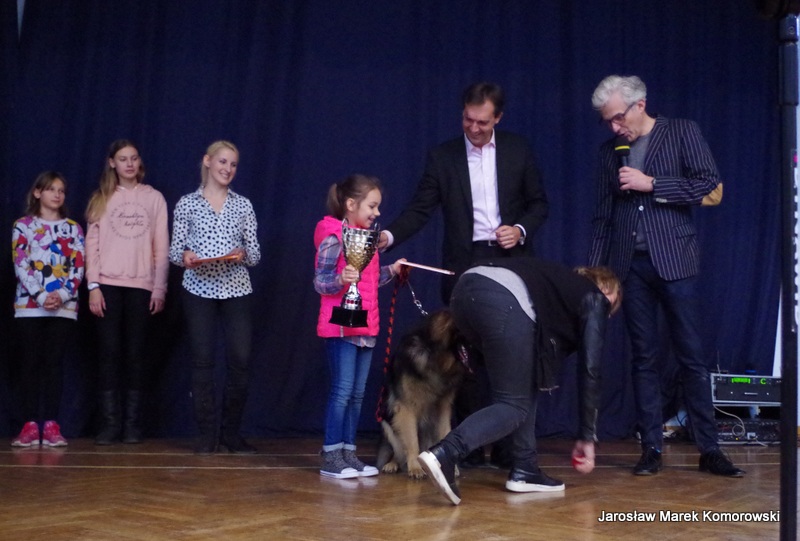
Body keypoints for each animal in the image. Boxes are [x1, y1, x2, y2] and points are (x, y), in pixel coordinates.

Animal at [375, 309, 470, 479]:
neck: (433, 355)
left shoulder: (443, 408)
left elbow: (445, 433)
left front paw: (451, 467)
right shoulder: (406, 408)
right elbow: (411, 441)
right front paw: (415, 467)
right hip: (387, 423)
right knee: (399, 452)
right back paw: (392, 464)